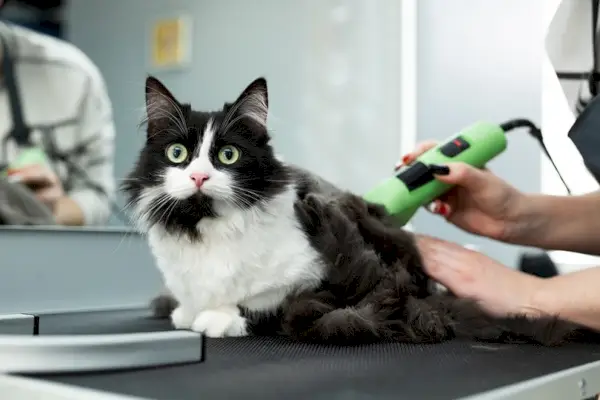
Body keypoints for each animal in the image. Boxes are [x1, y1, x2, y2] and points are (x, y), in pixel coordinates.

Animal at [123, 76, 592, 346]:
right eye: (178, 154)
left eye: (228, 155)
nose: (199, 177)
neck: (205, 227)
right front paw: (186, 312)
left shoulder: (307, 280)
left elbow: (267, 307)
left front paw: (218, 318)